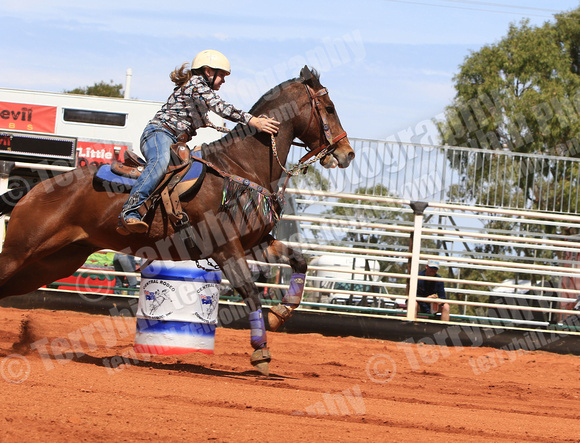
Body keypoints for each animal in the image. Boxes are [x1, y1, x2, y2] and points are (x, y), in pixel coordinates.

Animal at [0, 66, 354, 376]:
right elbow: (251, 291)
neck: (240, 165)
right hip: (21, 251)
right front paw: (261, 352)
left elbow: (299, 260)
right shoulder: (226, 248)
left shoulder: (256, 243)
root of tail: (31, 191)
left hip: (53, 263)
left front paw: (282, 312)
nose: (347, 153)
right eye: (329, 107)